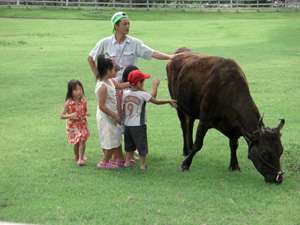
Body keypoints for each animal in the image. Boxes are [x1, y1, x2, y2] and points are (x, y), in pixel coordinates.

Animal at [168, 49, 284, 183]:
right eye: (265, 153)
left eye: (281, 151)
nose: (278, 178)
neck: (228, 92)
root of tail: (180, 52)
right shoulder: (205, 120)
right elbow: (198, 144)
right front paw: (185, 164)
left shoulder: (234, 126)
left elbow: (234, 145)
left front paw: (234, 165)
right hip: (178, 105)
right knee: (184, 126)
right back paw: (186, 150)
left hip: (190, 108)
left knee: (189, 123)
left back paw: (188, 148)